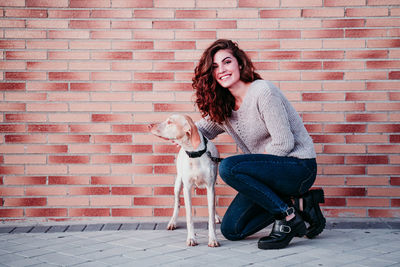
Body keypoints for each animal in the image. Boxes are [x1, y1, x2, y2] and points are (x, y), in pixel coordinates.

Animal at [148, 114, 220, 248]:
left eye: (170, 122)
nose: (149, 125)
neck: (195, 154)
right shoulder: (187, 188)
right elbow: (189, 216)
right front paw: (191, 238)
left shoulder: (210, 186)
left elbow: (211, 216)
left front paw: (213, 239)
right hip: (177, 184)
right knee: (177, 203)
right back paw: (172, 222)